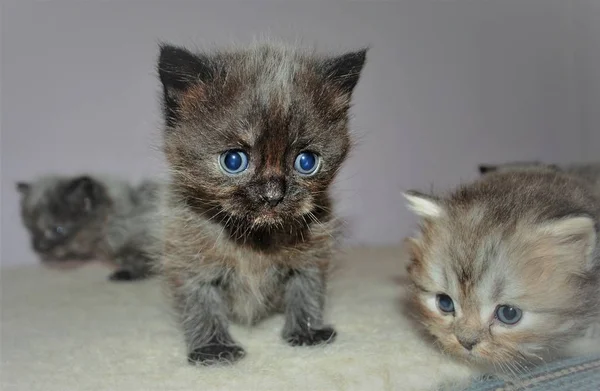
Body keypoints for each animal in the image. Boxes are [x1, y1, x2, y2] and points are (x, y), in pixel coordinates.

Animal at [156, 41, 366, 366]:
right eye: (233, 160)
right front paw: (213, 348)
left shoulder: (313, 252)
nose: (273, 194)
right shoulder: (189, 255)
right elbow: (201, 304)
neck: (255, 238)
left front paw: (306, 332)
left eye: (306, 162)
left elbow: (307, 289)